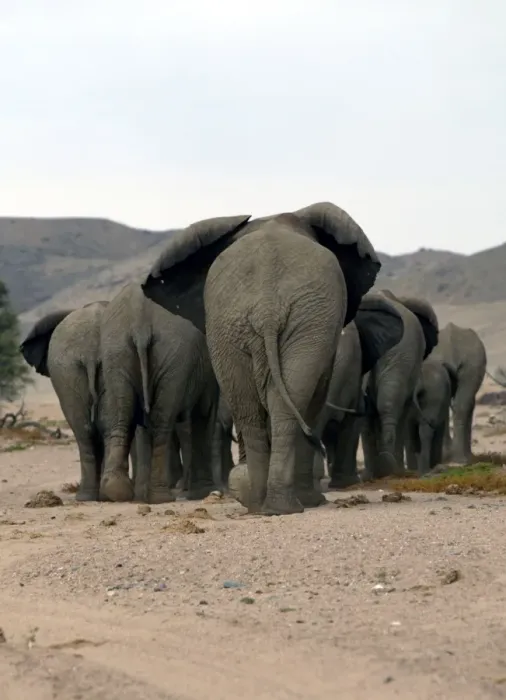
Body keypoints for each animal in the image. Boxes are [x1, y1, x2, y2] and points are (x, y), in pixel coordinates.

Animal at [99, 282, 220, 504]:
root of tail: (140, 320)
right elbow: (203, 416)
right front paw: (203, 492)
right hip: (172, 357)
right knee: (162, 423)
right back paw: (161, 497)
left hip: (118, 352)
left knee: (124, 416)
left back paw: (120, 491)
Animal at [142, 202, 381, 515]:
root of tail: (267, 307)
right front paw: (312, 500)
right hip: (298, 321)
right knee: (285, 405)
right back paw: (285, 505)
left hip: (235, 324)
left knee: (249, 406)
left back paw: (262, 504)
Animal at [430, 323, 487, 464]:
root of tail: (451, 349)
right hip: (471, 365)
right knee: (463, 404)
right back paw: (461, 459)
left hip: (470, 365)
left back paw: (458, 459)